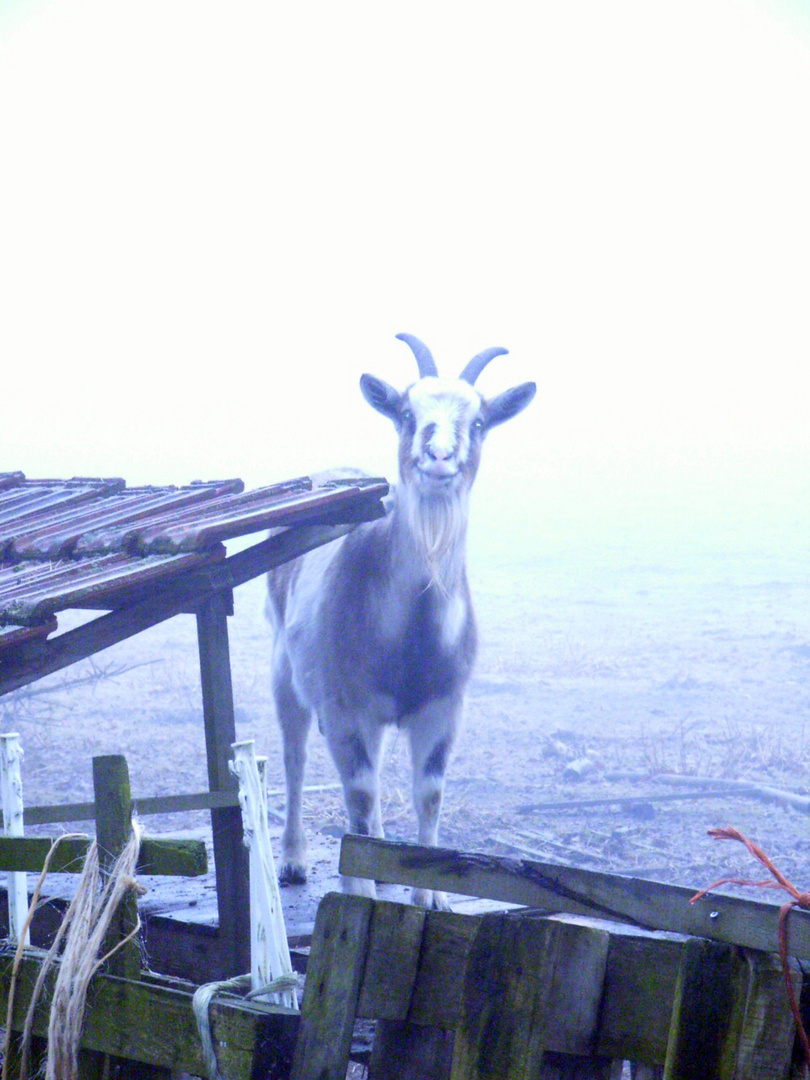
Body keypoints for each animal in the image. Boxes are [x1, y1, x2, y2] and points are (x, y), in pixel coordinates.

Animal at [266, 332, 535, 907]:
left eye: (479, 421)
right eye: (408, 413)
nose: (438, 456)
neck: (410, 630)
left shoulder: (443, 707)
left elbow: (428, 795)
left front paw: (426, 895)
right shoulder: (345, 706)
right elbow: (360, 796)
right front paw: (361, 887)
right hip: (286, 666)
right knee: (296, 754)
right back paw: (295, 860)